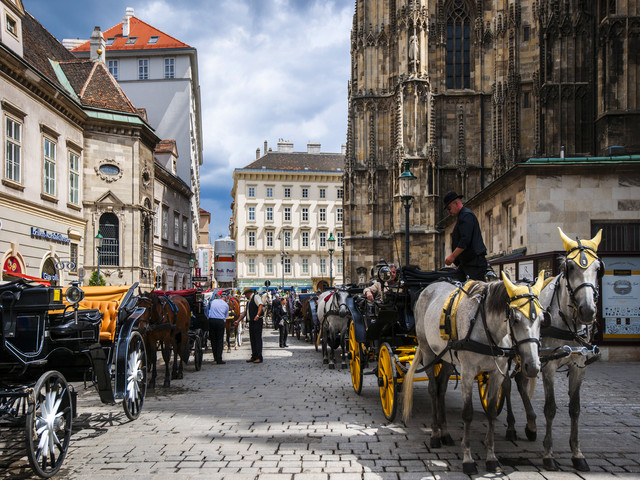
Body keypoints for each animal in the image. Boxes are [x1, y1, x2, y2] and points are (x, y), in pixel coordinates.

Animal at [402, 272, 544, 474]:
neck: (488, 328)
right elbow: (467, 413)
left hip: (447, 356)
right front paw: (467, 458)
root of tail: (429, 286)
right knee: (433, 389)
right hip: (428, 351)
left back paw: (445, 433)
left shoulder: (497, 373)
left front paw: (491, 457)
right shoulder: (468, 372)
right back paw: (435, 435)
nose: (532, 366)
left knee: (441, 389)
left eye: (542, 320)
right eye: (515, 319)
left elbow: (491, 412)